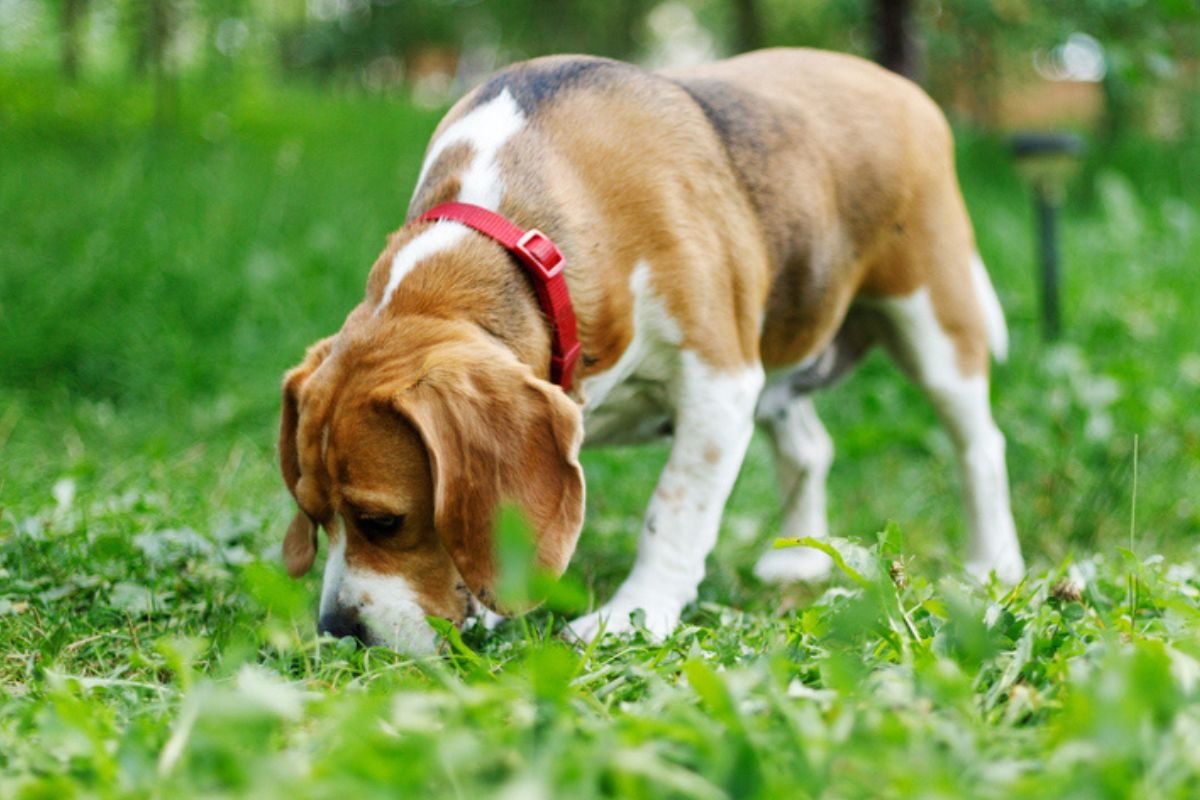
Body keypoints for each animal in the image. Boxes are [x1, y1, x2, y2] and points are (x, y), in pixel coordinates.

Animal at [278, 47, 1022, 652]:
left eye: (382, 521)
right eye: (312, 514)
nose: (339, 633)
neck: (522, 240)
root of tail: (900, 88)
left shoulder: (720, 385)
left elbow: (673, 511)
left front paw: (632, 616)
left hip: (933, 323)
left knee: (980, 445)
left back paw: (993, 566)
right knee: (810, 446)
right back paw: (799, 558)